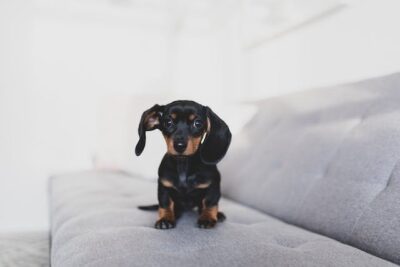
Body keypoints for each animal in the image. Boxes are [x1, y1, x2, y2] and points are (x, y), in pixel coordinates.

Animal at [137, 101, 233, 230]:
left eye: (197, 123)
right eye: (168, 122)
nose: (179, 145)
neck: (183, 164)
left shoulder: (213, 185)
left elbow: (210, 202)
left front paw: (207, 217)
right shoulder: (163, 186)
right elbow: (165, 203)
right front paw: (165, 219)